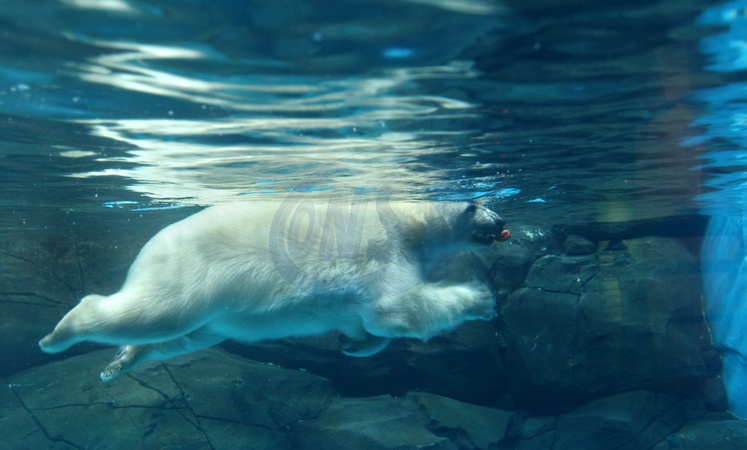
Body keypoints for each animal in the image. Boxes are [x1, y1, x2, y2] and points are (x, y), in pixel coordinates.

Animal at [39, 199, 509, 381]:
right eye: (480, 205)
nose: (503, 221)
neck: (411, 224)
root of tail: (148, 247)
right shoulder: (388, 255)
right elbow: (397, 309)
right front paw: (481, 297)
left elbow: (367, 323)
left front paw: (353, 347)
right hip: (190, 275)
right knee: (157, 314)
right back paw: (57, 335)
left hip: (213, 317)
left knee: (183, 337)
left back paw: (120, 363)